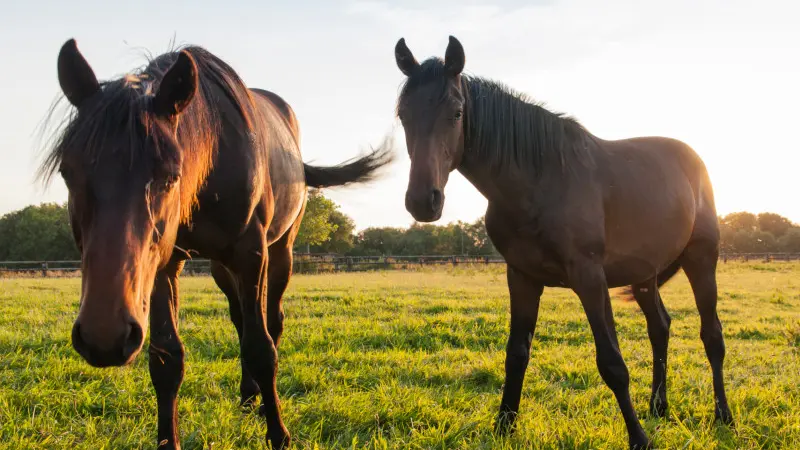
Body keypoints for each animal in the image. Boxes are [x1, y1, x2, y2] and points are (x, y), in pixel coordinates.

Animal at [40, 38, 393, 450]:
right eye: (67, 171)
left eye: (170, 176)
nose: (104, 337)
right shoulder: (164, 264)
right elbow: (167, 359)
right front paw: (170, 440)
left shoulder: (251, 253)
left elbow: (261, 348)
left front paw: (279, 435)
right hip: (221, 269)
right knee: (240, 319)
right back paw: (248, 396)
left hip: (280, 254)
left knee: (271, 322)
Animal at [392, 35, 731, 449]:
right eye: (403, 115)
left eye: (457, 113)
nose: (423, 201)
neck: (541, 181)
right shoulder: (521, 277)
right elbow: (516, 354)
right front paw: (504, 426)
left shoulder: (589, 277)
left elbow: (612, 363)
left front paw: (638, 439)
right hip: (645, 273)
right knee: (660, 328)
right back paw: (658, 407)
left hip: (702, 260)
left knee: (711, 336)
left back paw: (723, 416)